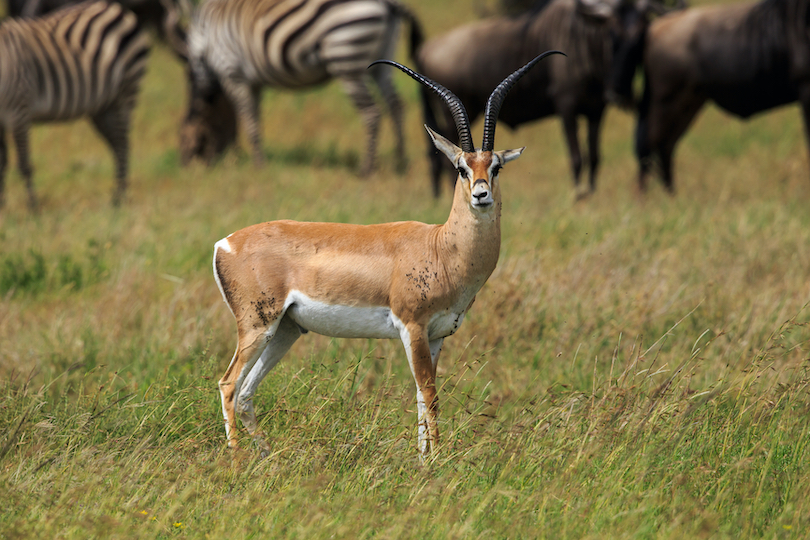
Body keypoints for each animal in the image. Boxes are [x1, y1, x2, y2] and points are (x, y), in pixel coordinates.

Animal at [0, 1, 150, 210]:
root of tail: (113, 8)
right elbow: (2, 162)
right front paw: (2, 206)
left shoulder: (19, 109)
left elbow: (24, 163)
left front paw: (34, 208)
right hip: (102, 108)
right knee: (117, 145)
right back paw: (117, 196)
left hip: (126, 93)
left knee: (123, 146)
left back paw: (119, 200)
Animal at [178, 0, 422, 176]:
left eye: (187, 135)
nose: (186, 164)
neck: (205, 33)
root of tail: (388, 4)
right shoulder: (253, 83)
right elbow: (254, 119)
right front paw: (255, 160)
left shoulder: (234, 73)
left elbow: (249, 121)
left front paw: (258, 166)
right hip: (382, 62)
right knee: (396, 106)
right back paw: (400, 162)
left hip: (346, 56)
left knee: (372, 112)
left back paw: (366, 169)